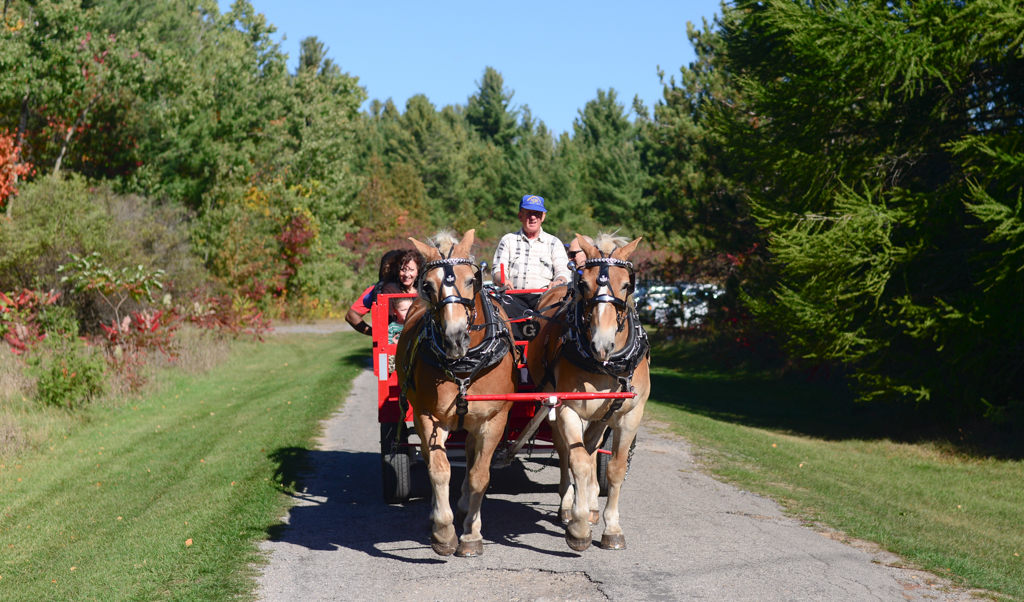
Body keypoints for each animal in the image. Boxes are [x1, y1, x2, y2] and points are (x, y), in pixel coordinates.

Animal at [393, 229, 516, 556]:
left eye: (472, 280)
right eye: (427, 285)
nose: (454, 338)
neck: (464, 363)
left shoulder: (494, 420)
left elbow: (479, 476)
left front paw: (472, 534)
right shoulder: (427, 416)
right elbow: (439, 469)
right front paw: (444, 531)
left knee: (472, 456)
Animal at [528, 232, 647, 552]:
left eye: (627, 284)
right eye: (584, 284)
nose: (602, 345)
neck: (605, 365)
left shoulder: (630, 415)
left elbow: (614, 468)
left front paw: (612, 528)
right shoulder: (568, 409)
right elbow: (578, 462)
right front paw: (578, 526)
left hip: (601, 416)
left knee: (593, 449)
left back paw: (592, 504)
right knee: (567, 452)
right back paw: (569, 506)